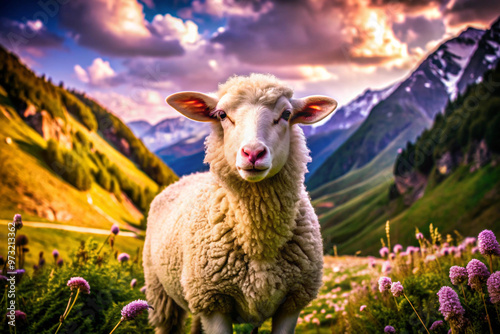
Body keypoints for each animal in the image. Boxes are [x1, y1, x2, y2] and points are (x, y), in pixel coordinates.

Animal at [144, 73, 340, 334]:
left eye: (286, 114)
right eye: (221, 115)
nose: (253, 153)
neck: (259, 242)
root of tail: (186, 177)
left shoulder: (292, 302)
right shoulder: (213, 302)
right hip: (162, 292)